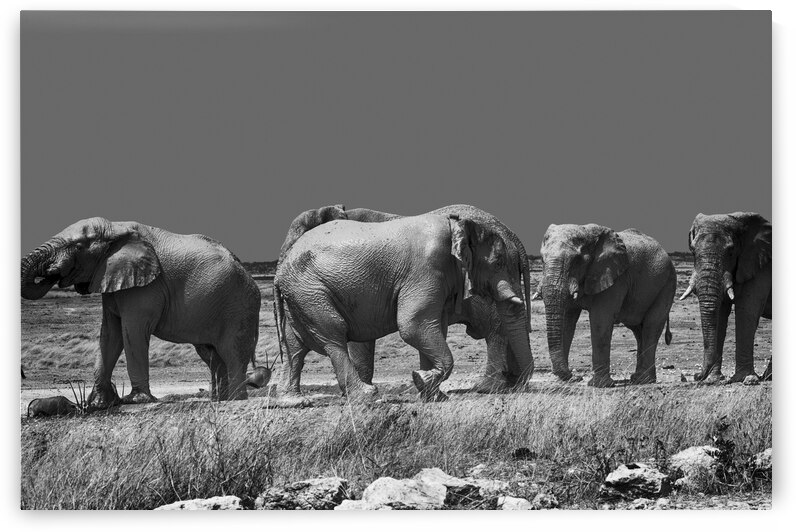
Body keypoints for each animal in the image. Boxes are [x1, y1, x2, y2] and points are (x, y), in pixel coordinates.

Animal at [21, 217, 262, 407]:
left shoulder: (146, 287)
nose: (51, 272)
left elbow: (133, 330)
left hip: (239, 307)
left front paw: (134, 400)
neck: (114, 228)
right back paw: (220, 401)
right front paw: (99, 403)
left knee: (232, 353)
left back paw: (236, 401)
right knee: (212, 355)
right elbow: (110, 334)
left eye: (78, 245)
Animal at [273, 204, 534, 395]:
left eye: (498, 262)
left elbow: (417, 326)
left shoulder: (428, 271)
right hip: (308, 290)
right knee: (315, 339)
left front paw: (425, 385)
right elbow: (419, 326)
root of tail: (516, 238)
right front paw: (427, 387)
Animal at [538, 224, 676, 388]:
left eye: (577, 260)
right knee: (639, 330)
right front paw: (563, 381)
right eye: (542, 260)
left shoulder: (615, 277)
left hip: (667, 284)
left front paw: (598, 385)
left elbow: (601, 319)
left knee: (651, 326)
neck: (587, 232)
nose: (576, 377)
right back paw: (638, 379)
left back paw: (644, 380)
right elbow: (567, 320)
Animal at [680, 212, 772, 383]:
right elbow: (720, 314)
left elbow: (747, 310)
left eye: (731, 252)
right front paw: (714, 379)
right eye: (693, 252)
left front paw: (745, 378)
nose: (696, 376)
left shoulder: (761, 266)